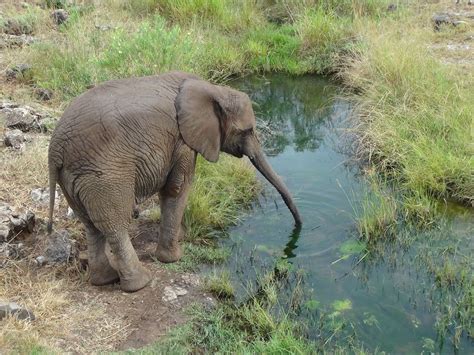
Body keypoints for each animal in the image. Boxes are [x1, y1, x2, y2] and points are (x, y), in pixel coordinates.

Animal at [47, 71, 300, 292]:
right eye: (247, 131)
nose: (298, 227)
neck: (212, 88)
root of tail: (55, 148)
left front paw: (180, 238)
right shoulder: (182, 141)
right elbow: (177, 188)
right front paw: (174, 257)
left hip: (74, 179)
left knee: (90, 224)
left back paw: (104, 280)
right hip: (104, 175)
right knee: (115, 223)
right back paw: (141, 283)